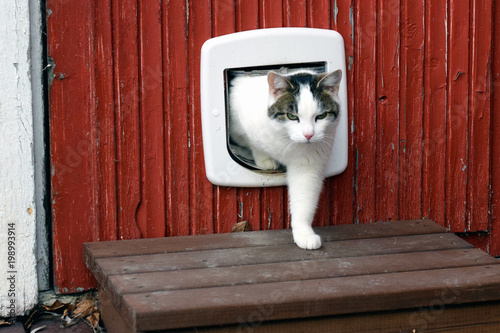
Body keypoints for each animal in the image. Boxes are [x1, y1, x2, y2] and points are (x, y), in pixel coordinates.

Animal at [229, 68, 342, 249]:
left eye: (322, 116)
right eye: (292, 116)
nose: (308, 135)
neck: (286, 138)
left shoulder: (307, 166)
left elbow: (304, 200)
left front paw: (304, 234)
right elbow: (253, 143)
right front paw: (264, 159)